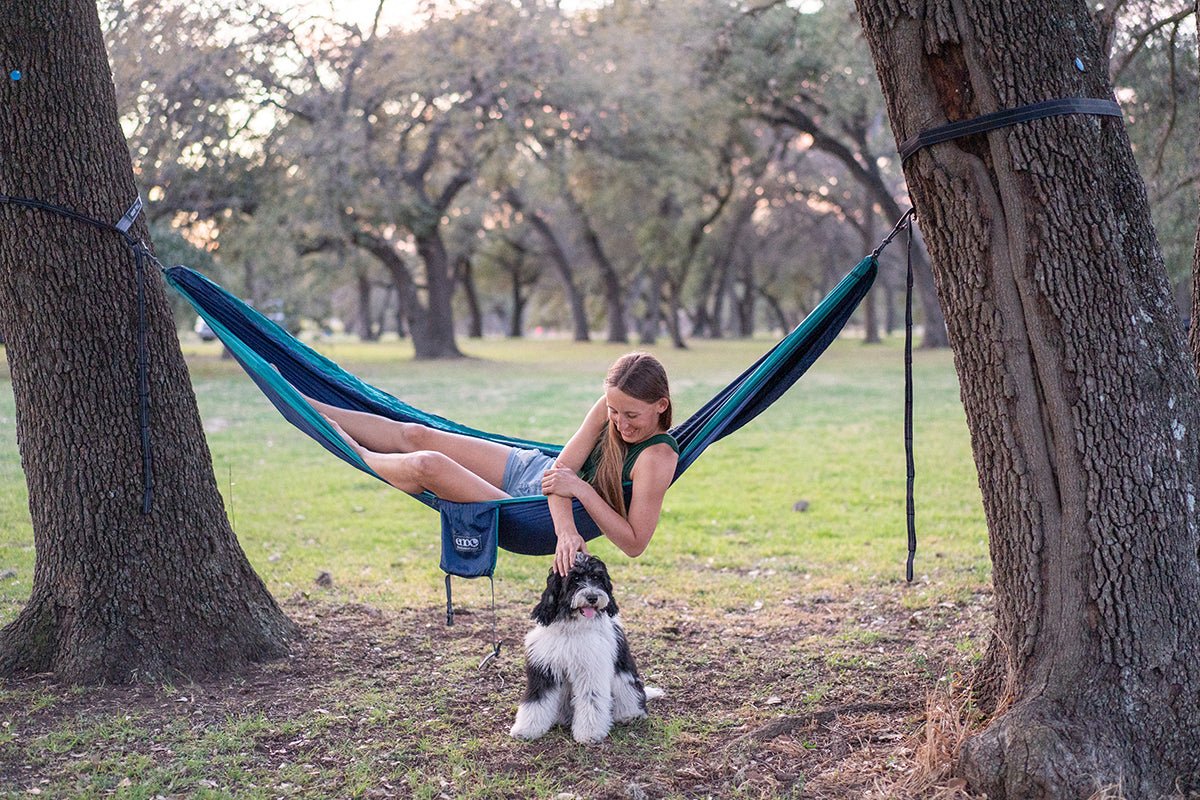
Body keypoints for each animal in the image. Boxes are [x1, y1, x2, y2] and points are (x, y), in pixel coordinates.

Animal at [506, 551, 657, 743]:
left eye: (596, 577)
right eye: (575, 578)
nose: (592, 597)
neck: (573, 627)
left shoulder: (591, 670)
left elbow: (591, 700)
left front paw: (589, 733)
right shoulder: (544, 669)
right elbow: (536, 700)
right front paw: (526, 729)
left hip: (624, 684)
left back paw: (630, 715)